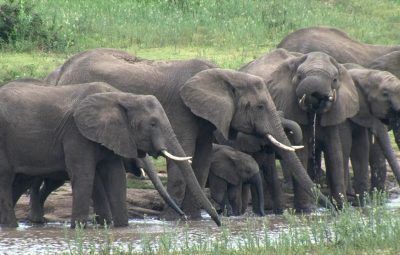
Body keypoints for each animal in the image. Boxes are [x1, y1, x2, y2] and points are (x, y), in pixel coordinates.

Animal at [0, 79, 211, 227]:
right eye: (152, 124)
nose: (184, 218)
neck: (122, 96)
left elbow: (115, 177)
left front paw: (118, 227)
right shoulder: (76, 133)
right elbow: (85, 175)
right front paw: (79, 229)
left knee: (18, 182)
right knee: (6, 179)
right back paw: (12, 225)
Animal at [46, 47, 334, 219]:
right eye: (260, 106)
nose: (334, 209)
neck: (223, 75)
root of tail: (61, 70)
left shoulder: (205, 117)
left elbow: (203, 162)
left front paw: (195, 219)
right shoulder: (180, 110)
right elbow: (183, 157)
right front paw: (174, 221)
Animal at [241, 48, 360, 210]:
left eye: (335, 80)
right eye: (299, 76)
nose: (316, 95)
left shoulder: (335, 110)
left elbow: (334, 152)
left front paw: (342, 208)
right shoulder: (290, 104)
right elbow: (302, 151)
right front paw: (306, 210)